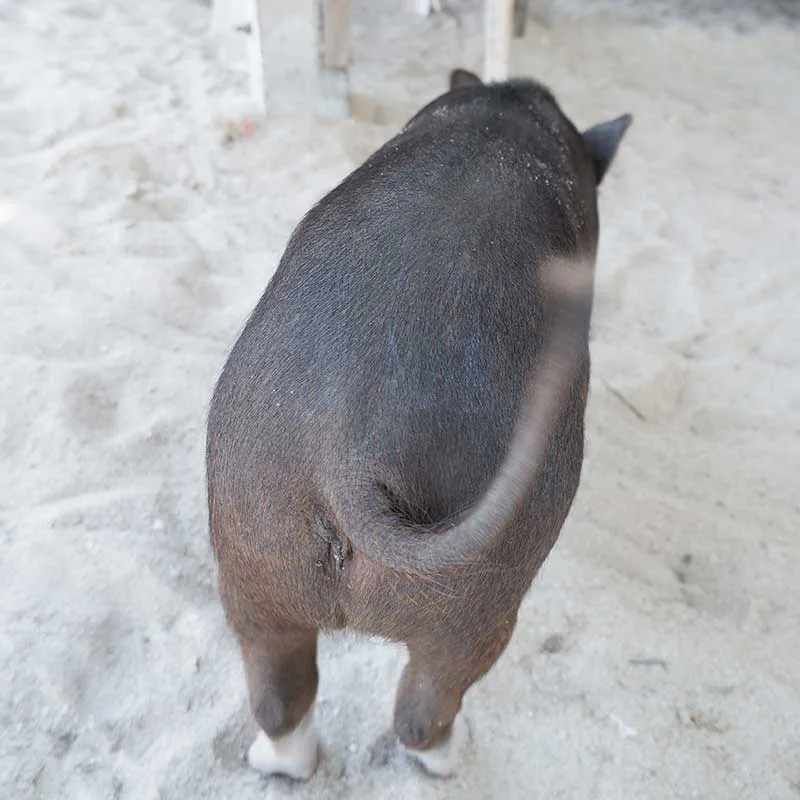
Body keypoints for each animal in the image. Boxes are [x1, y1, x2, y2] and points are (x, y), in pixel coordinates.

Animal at [206, 67, 630, 780]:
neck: (502, 113)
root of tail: (346, 457)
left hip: (251, 550)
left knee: (279, 686)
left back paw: (279, 762)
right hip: (481, 602)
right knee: (425, 704)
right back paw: (449, 759)